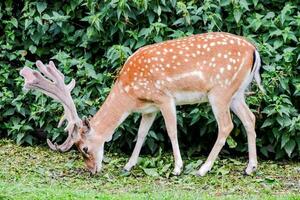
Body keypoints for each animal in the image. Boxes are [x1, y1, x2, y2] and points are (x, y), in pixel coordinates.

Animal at [21, 32, 264, 176]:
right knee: (250, 118)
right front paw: (128, 165)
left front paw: (177, 168)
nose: (92, 171)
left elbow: (172, 131)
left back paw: (203, 169)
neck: (130, 95)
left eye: (84, 148)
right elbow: (141, 134)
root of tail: (254, 51)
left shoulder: (164, 97)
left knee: (226, 126)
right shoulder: (150, 108)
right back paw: (250, 168)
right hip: (236, 94)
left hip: (220, 91)